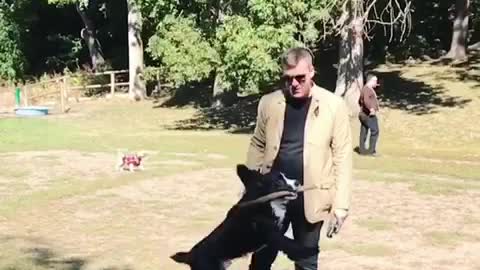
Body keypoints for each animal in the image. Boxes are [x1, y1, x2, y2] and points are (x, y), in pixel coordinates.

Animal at [170, 165, 318, 270]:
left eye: (286, 176)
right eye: (279, 181)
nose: (298, 182)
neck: (264, 200)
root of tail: (189, 255)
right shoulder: (270, 232)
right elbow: (288, 243)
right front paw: (309, 251)